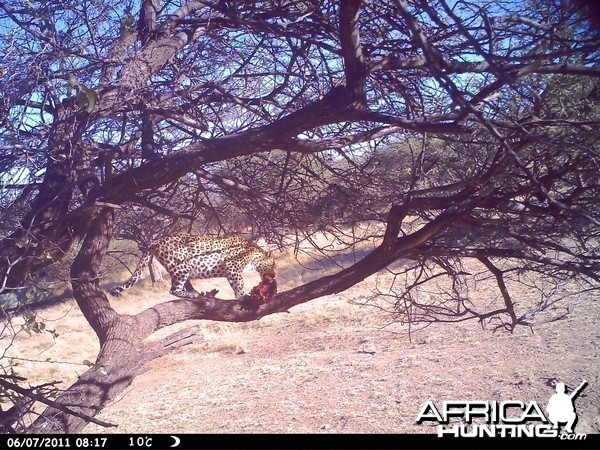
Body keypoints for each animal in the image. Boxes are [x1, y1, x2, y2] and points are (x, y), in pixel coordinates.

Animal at [109, 234, 276, 300]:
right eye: (274, 265)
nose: (274, 275)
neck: (255, 255)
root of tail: (156, 241)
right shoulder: (232, 266)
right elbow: (239, 283)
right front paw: (243, 295)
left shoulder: (230, 271)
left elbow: (234, 284)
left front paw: (239, 295)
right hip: (181, 267)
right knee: (173, 290)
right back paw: (193, 294)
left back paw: (193, 291)